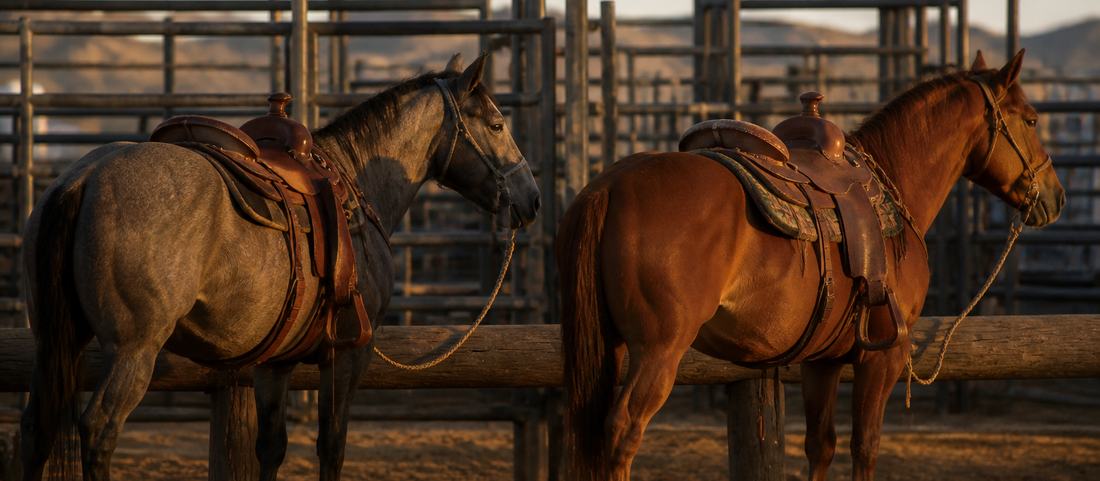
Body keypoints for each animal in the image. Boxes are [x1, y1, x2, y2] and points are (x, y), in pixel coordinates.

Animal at [20, 53, 539, 481]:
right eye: (497, 124)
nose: (531, 199)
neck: (354, 181)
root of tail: (83, 177)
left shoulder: (275, 362)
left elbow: (271, 447)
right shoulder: (349, 354)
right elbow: (332, 447)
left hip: (54, 341)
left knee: (35, 429)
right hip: (134, 350)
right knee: (99, 429)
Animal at [557, 50, 1064, 481]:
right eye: (1032, 119)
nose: (1055, 197)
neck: (892, 186)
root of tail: (609, 186)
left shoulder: (823, 361)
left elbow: (821, 446)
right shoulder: (882, 357)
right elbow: (865, 447)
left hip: (613, 344)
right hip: (658, 350)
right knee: (621, 432)